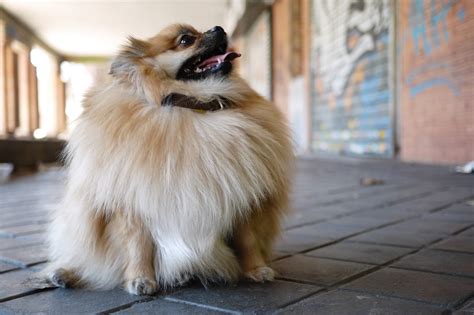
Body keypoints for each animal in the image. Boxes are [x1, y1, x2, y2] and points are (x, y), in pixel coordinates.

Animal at [41, 24, 292, 296]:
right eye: (185, 40)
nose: (219, 28)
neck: (195, 105)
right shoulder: (132, 204)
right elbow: (138, 246)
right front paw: (140, 279)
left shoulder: (243, 197)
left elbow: (248, 240)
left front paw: (256, 269)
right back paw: (65, 273)